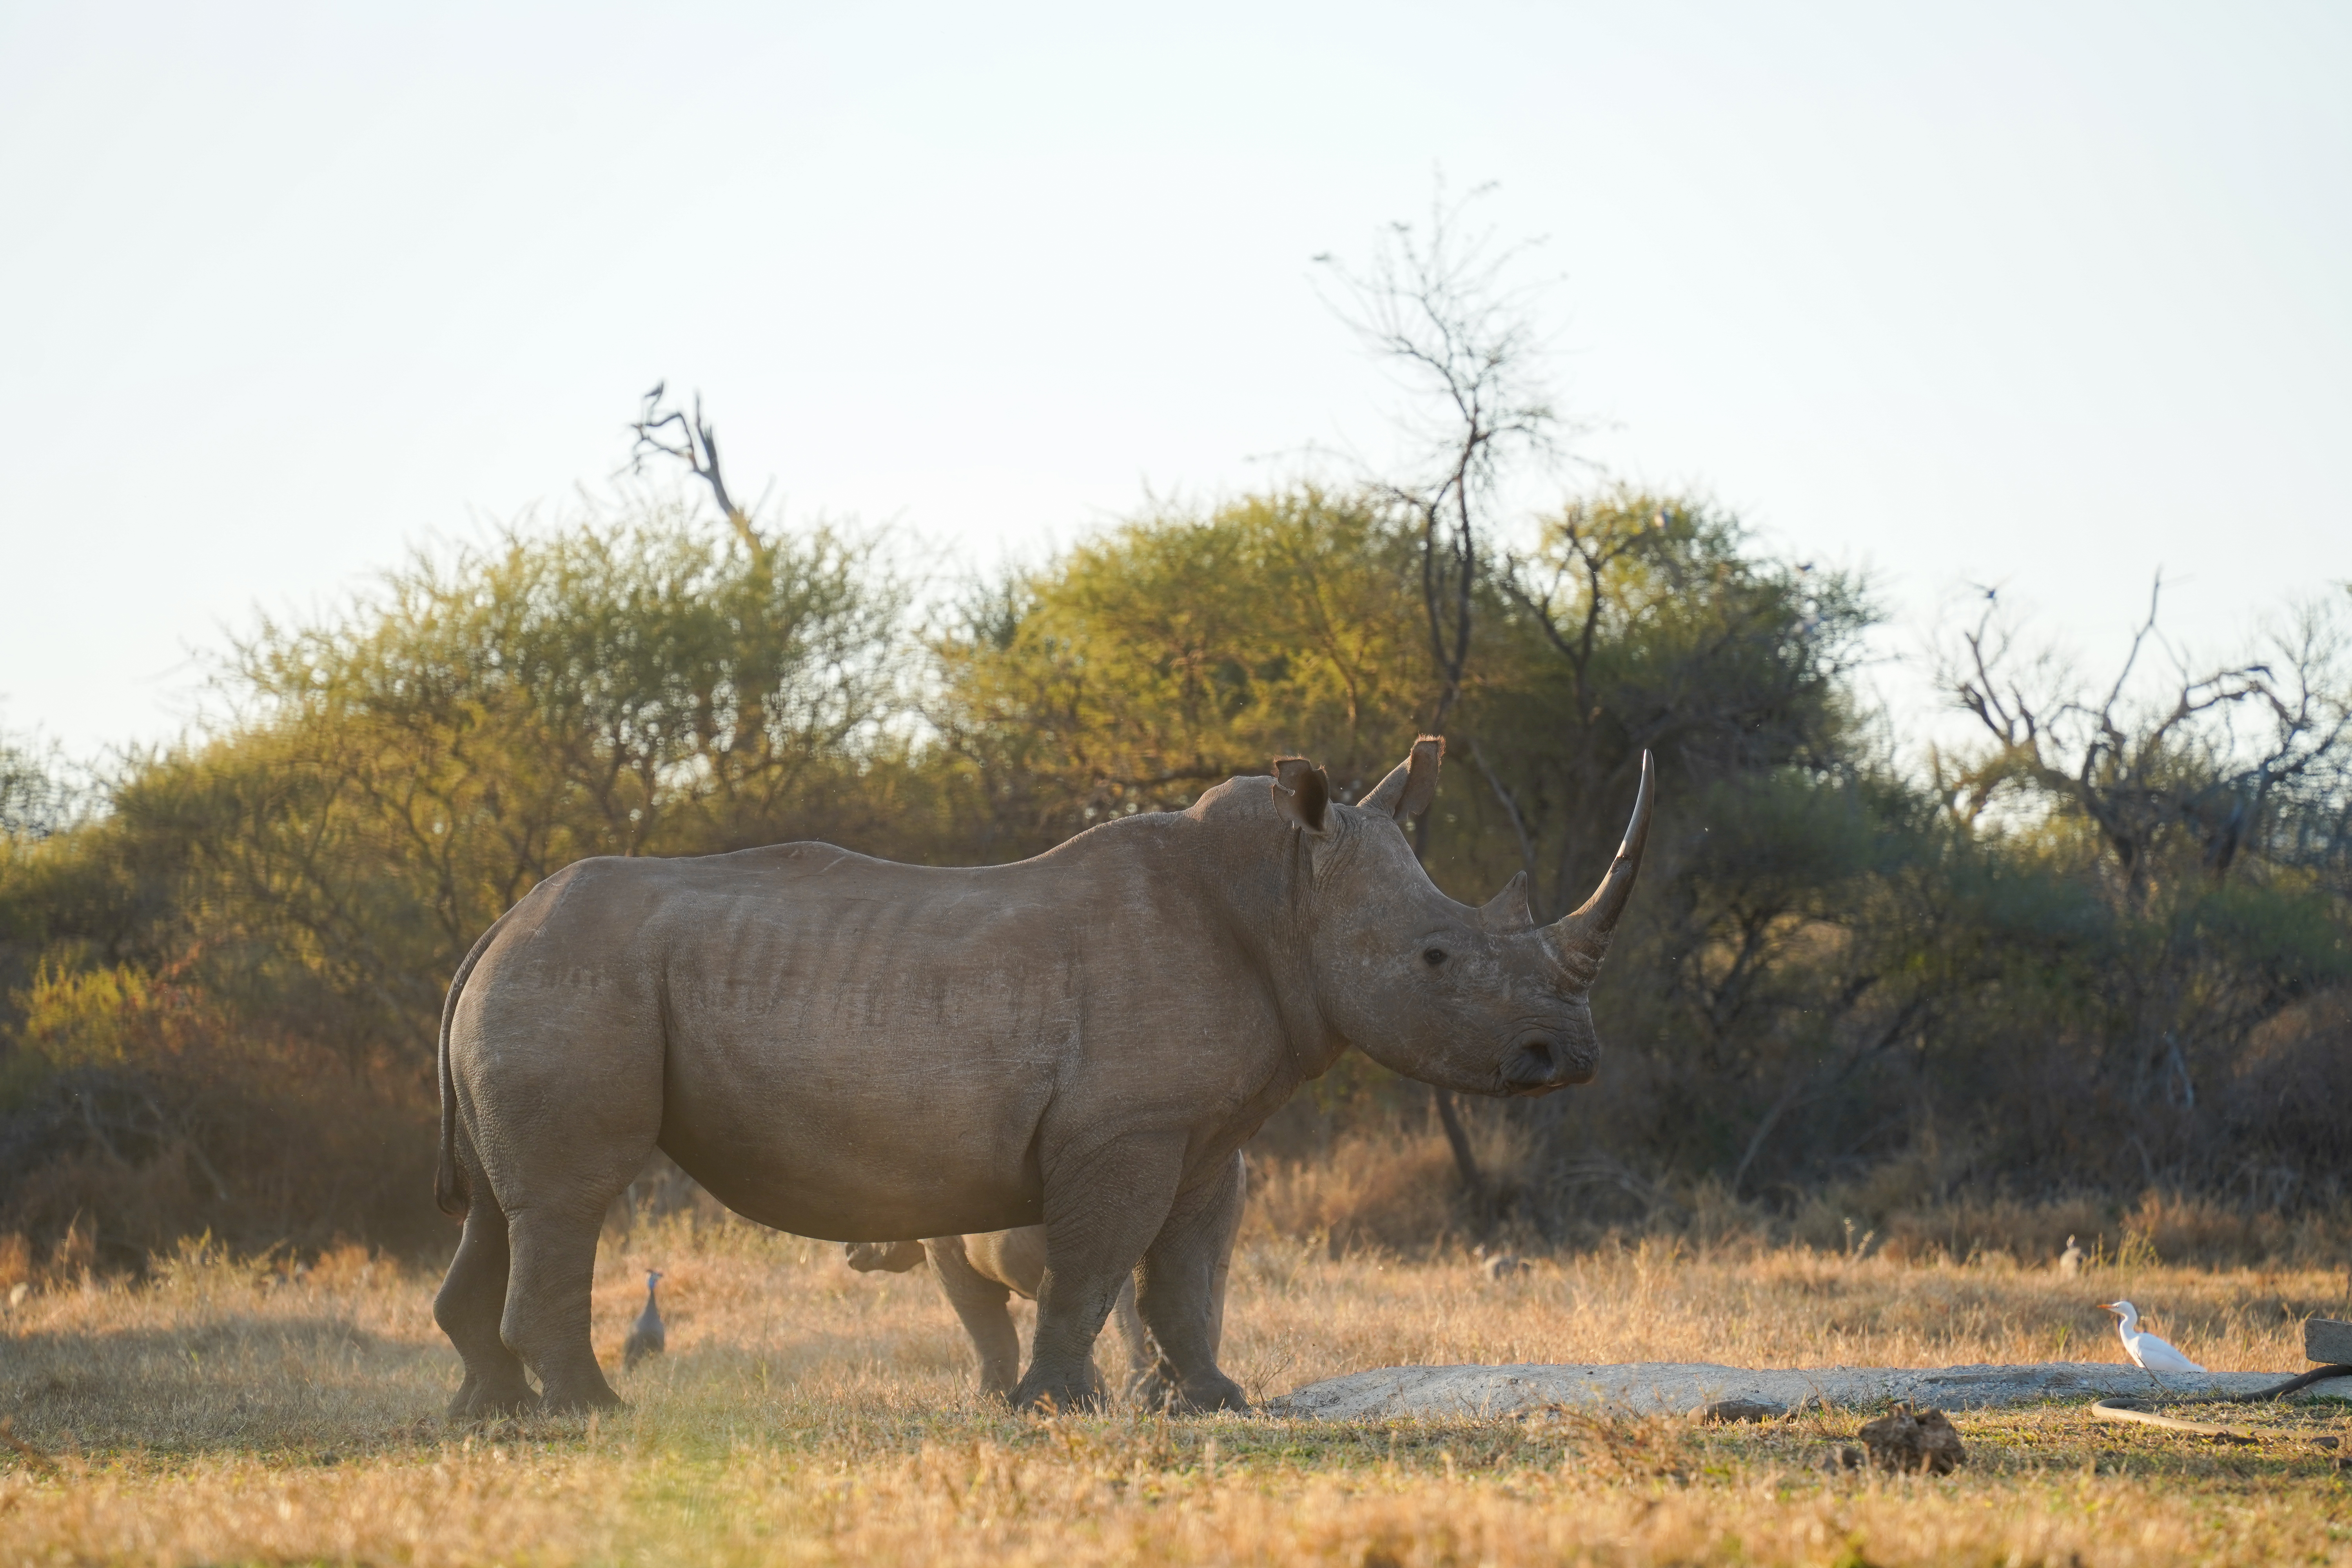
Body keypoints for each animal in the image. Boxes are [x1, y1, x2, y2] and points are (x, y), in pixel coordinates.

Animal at [843, 1149, 1245, 1400]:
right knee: (1202, 1293)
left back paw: (1143, 1398)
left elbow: (989, 1333)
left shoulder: (947, 1260)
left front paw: (988, 1401)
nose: (849, 1250)